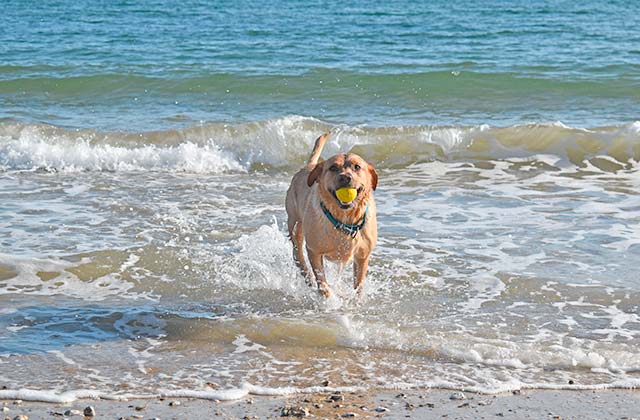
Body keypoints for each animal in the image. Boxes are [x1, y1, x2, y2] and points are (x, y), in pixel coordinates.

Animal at [284, 133, 376, 296]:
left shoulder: (362, 255)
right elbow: (322, 281)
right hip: (295, 224)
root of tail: (308, 166)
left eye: (357, 167)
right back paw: (307, 275)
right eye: (333, 167)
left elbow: (358, 286)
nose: (345, 177)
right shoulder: (314, 251)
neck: (344, 218)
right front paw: (328, 297)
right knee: (298, 253)